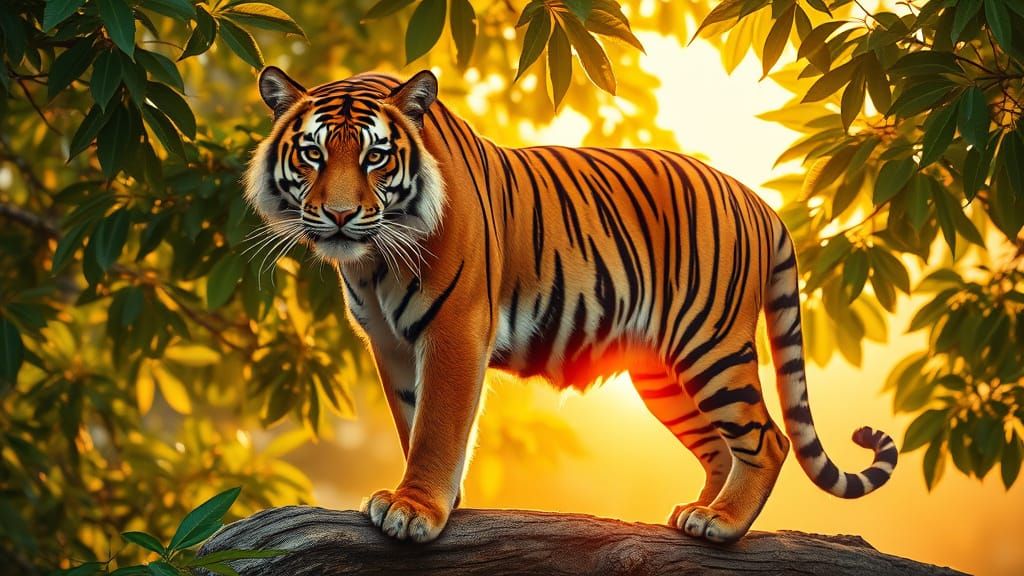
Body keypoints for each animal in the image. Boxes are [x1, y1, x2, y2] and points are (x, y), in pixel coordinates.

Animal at [243, 67, 898, 544]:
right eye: (312, 154)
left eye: (375, 157)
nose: (340, 215)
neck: (373, 259)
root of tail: (759, 201)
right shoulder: (390, 341)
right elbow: (410, 419)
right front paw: (433, 499)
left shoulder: (454, 327)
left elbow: (436, 425)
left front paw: (416, 511)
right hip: (662, 372)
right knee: (719, 447)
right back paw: (696, 512)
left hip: (710, 342)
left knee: (767, 437)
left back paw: (723, 523)